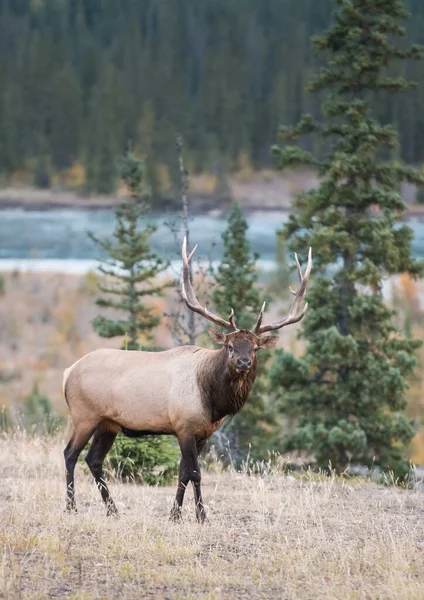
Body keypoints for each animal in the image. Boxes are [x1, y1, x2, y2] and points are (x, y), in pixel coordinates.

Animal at [63, 238, 312, 520]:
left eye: (255, 348)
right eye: (229, 346)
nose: (243, 362)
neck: (213, 402)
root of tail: (68, 372)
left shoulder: (203, 433)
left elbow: (183, 473)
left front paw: (175, 514)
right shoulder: (184, 426)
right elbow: (195, 473)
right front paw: (201, 516)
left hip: (108, 423)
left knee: (93, 459)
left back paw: (112, 510)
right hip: (84, 415)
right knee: (70, 454)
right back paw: (71, 506)